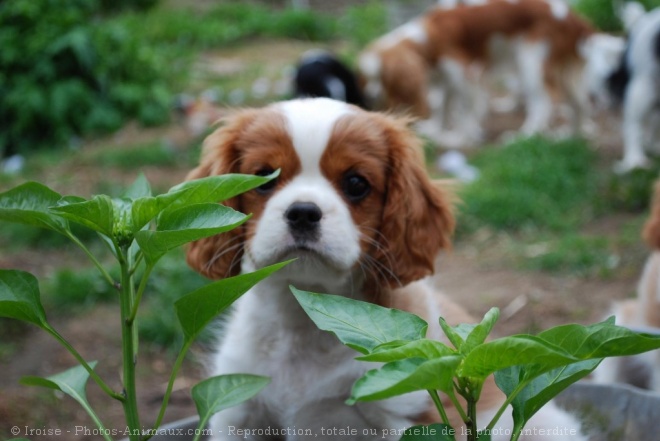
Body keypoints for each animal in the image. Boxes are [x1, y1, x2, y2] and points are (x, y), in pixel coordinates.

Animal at [358, 0, 596, 147]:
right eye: (369, 78)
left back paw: (525, 137)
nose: (371, 95)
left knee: (543, 102)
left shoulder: (463, 76)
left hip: (531, 62)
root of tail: (575, 19)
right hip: (564, 72)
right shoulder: (446, 79)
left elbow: (465, 111)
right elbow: (443, 106)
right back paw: (570, 137)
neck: (430, 37)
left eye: (384, 77)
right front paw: (435, 130)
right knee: (578, 103)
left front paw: (459, 139)